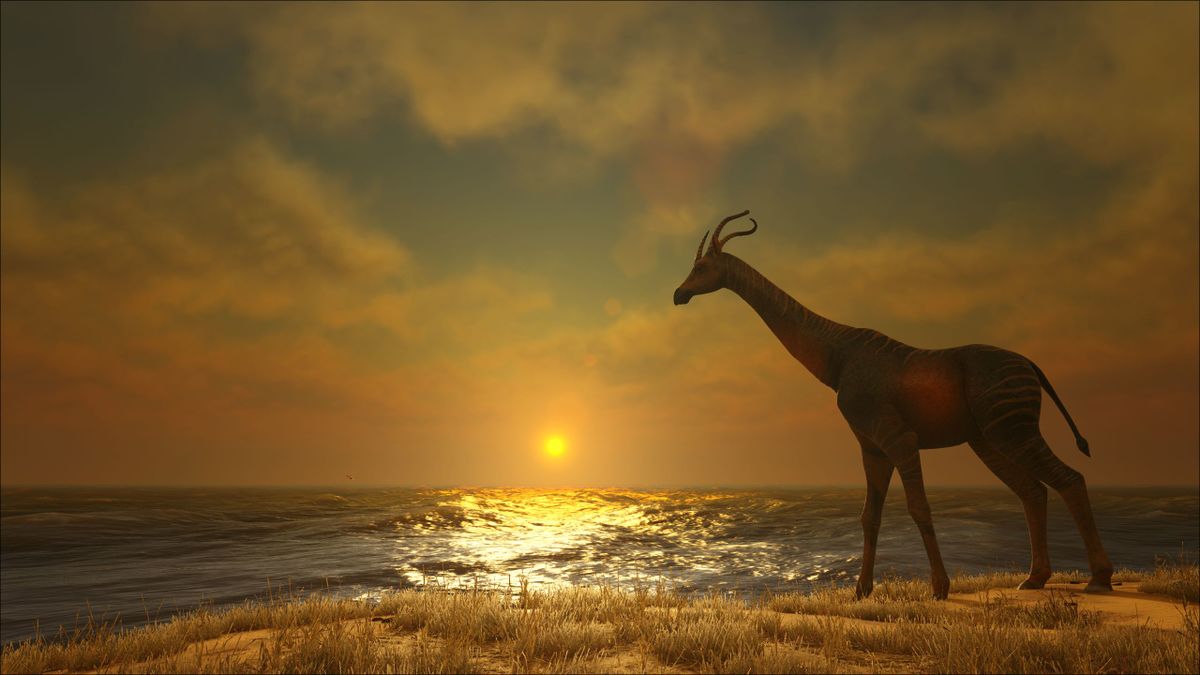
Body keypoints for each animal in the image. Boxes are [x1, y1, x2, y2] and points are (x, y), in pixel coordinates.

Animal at [673, 210, 1113, 600]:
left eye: (701, 267)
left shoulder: (900, 438)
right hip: (989, 439)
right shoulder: (871, 447)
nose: (678, 294)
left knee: (1069, 479)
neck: (837, 360)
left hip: (1012, 427)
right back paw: (1034, 579)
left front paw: (940, 588)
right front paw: (861, 590)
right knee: (1034, 490)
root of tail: (1030, 365)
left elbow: (919, 507)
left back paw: (1099, 579)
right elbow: (870, 516)